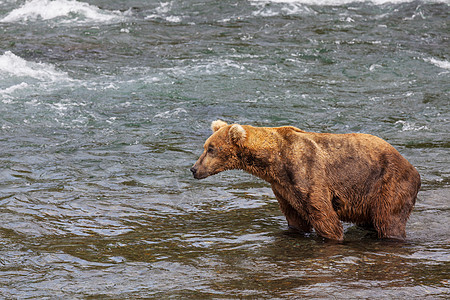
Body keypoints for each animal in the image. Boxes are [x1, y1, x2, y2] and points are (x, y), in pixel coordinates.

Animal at [191, 119, 422, 241]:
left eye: (211, 149)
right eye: (205, 147)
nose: (194, 169)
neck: (275, 160)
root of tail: (413, 168)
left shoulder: (306, 172)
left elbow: (323, 215)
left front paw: (332, 236)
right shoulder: (282, 188)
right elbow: (295, 217)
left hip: (388, 184)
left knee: (388, 220)